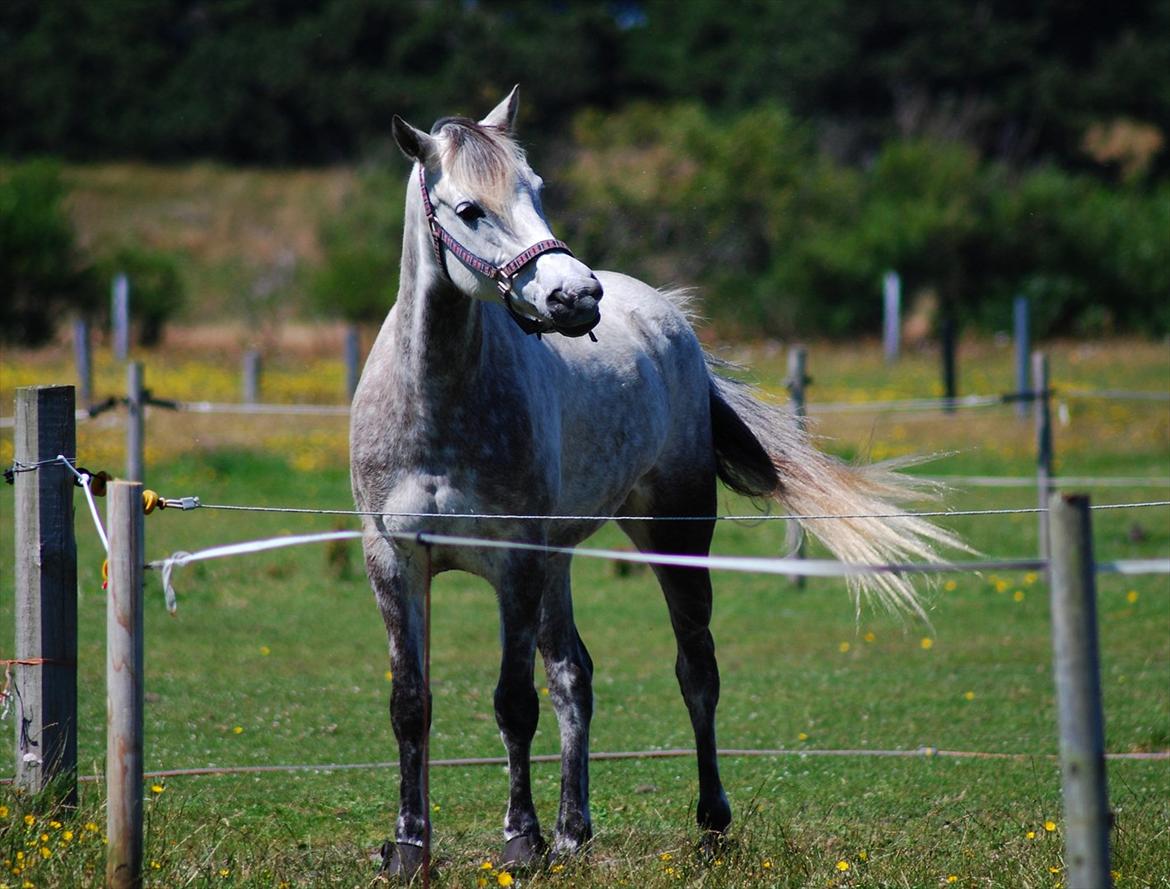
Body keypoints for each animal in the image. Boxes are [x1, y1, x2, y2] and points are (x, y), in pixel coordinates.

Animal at [348, 86, 959, 879]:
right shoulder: (396, 563)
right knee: (573, 674)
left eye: (535, 188)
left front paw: (521, 840)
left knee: (695, 669)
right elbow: (412, 705)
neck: (434, 403)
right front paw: (410, 848)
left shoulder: (515, 564)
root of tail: (667, 314)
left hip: (672, 534)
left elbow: (513, 701)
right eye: (469, 208)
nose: (576, 296)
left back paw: (709, 822)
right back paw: (574, 831)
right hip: (560, 561)